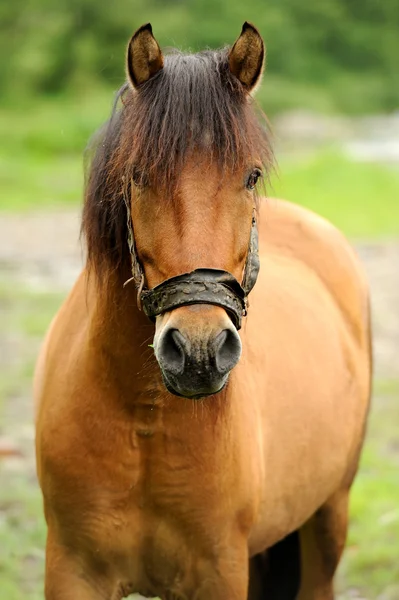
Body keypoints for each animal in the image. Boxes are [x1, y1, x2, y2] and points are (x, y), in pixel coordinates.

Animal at [33, 22, 372, 600]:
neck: (143, 418)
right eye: (138, 174)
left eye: (251, 176)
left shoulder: (220, 571)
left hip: (329, 519)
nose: (198, 351)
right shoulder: (72, 572)